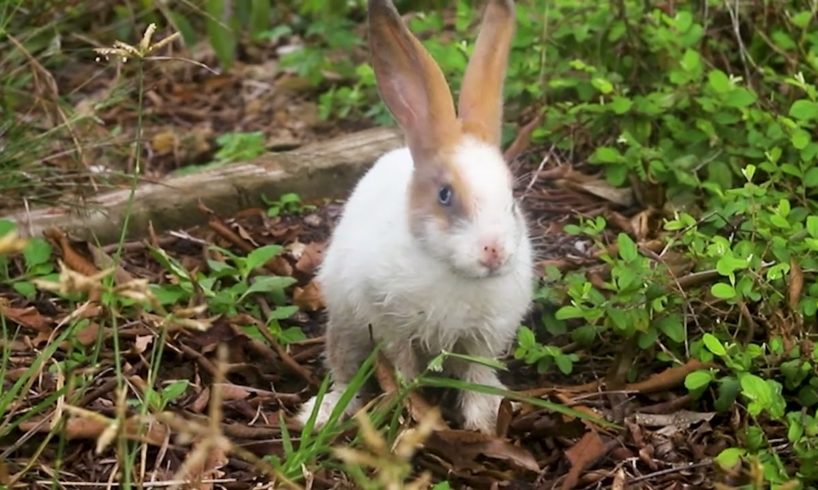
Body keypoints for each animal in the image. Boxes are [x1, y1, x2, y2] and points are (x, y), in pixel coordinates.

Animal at [294, 0, 536, 434]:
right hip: (346, 325)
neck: (453, 272)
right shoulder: (389, 324)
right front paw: (412, 409)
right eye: (445, 195)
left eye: (511, 197)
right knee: (342, 372)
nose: (494, 252)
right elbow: (402, 367)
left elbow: (477, 376)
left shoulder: (483, 338)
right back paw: (321, 416)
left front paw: (483, 421)